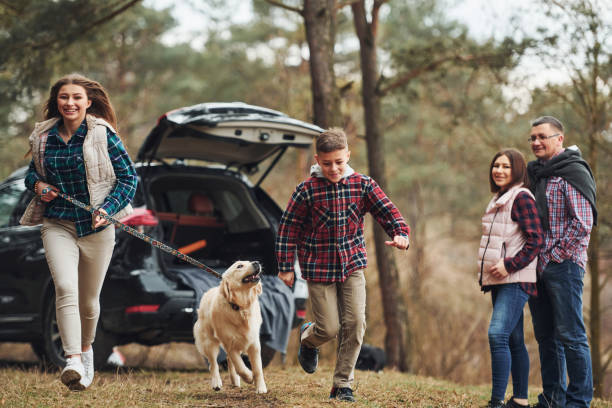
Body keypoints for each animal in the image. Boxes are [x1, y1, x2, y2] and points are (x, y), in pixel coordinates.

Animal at [192, 260, 266, 394]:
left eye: (249, 261)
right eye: (239, 266)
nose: (256, 262)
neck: (240, 307)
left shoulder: (253, 343)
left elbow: (258, 368)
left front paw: (261, 388)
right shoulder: (230, 343)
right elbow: (240, 366)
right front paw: (248, 377)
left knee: (228, 361)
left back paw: (235, 380)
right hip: (208, 341)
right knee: (213, 364)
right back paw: (216, 383)